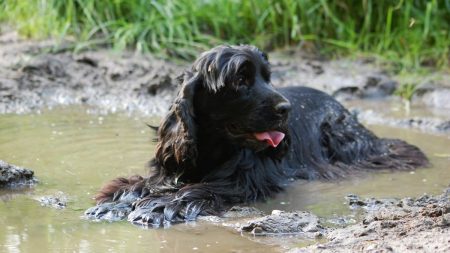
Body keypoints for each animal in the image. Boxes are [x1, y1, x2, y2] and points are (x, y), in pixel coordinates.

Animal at [85, 44, 428, 226]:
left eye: (268, 77)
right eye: (240, 79)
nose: (287, 108)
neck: (214, 148)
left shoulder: (243, 181)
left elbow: (200, 190)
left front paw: (157, 207)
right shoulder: (173, 167)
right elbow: (142, 184)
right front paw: (116, 203)